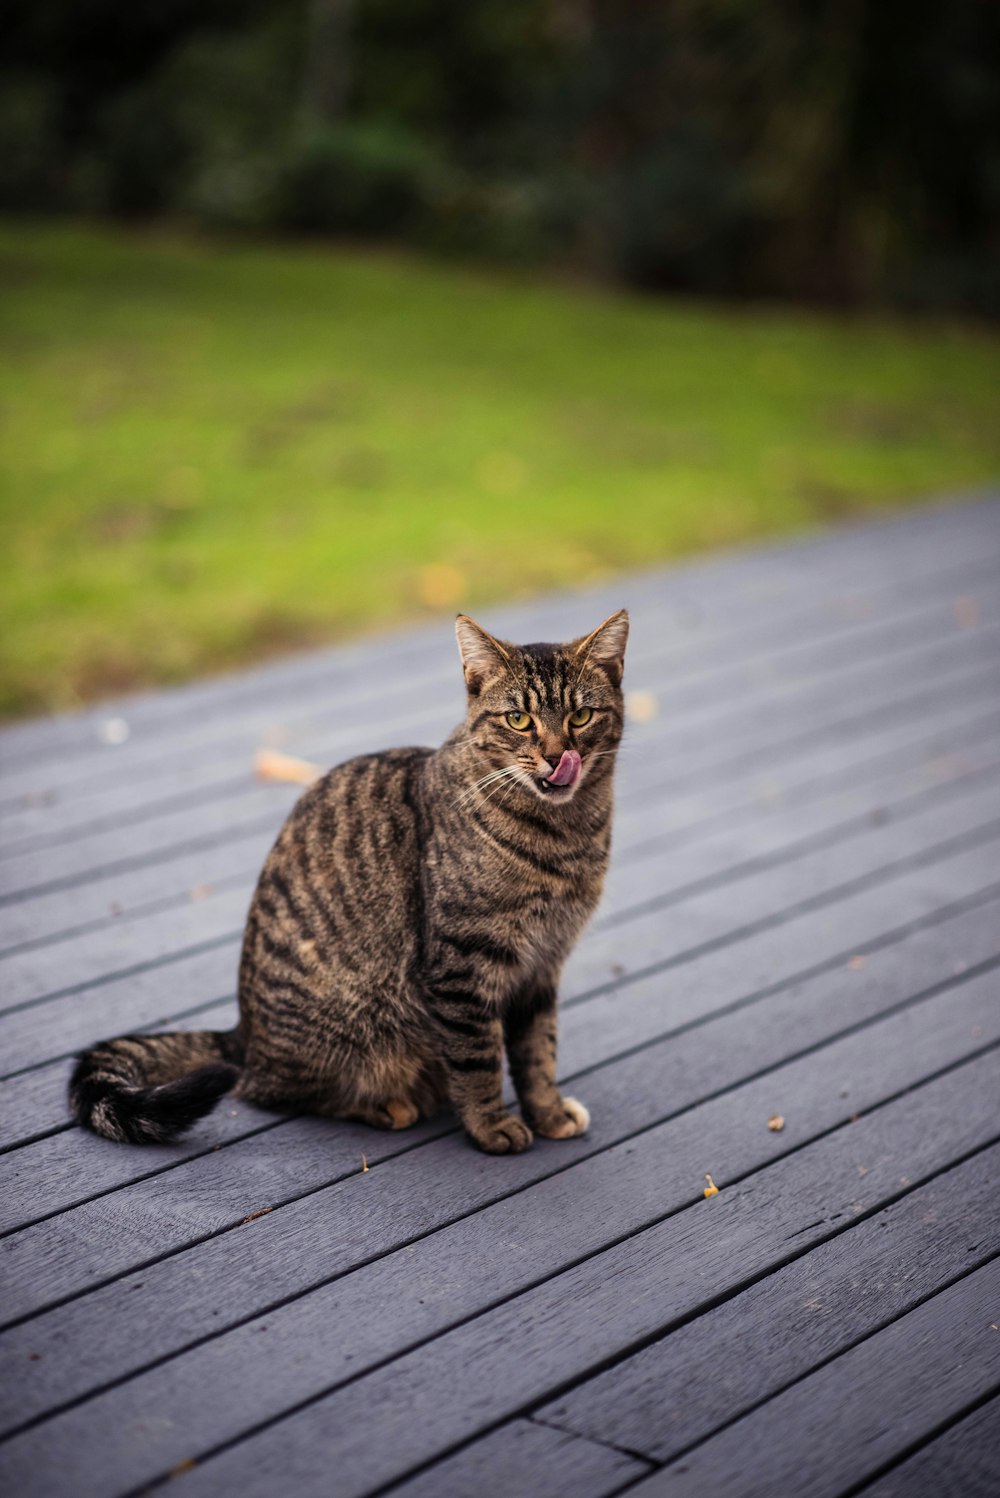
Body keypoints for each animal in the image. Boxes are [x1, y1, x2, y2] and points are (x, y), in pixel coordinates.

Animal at [70, 611, 628, 1156]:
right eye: (519, 720)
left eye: (580, 717)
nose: (557, 756)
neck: (565, 837)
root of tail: (244, 1034)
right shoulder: (462, 966)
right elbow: (478, 1061)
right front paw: (490, 1127)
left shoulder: (542, 966)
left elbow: (538, 1053)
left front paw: (548, 1113)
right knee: (268, 1089)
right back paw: (387, 1105)